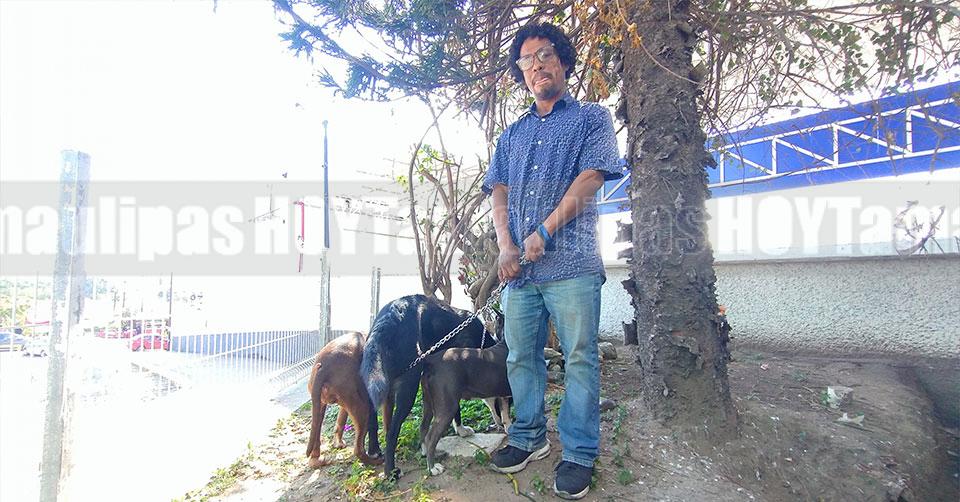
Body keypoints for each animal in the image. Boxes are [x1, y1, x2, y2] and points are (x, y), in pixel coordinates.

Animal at [305, 331, 383, 468]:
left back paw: (318, 460)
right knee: (358, 449)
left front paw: (338, 444)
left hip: (321, 401)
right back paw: (375, 461)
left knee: (316, 428)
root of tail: (323, 368)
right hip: (362, 407)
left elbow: (341, 419)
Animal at [361, 294, 496, 478]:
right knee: (392, 432)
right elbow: (457, 409)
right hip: (408, 388)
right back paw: (391, 472)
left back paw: (374, 451)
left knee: (372, 418)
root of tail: (390, 316)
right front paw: (461, 430)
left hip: (377, 383)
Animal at [419, 336, 512, 475]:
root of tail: (431, 361)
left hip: (428, 403)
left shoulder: (503, 395)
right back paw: (433, 468)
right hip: (447, 407)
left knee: (423, 427)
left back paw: (425, 453)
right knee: (431, 437)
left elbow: (504, 415)